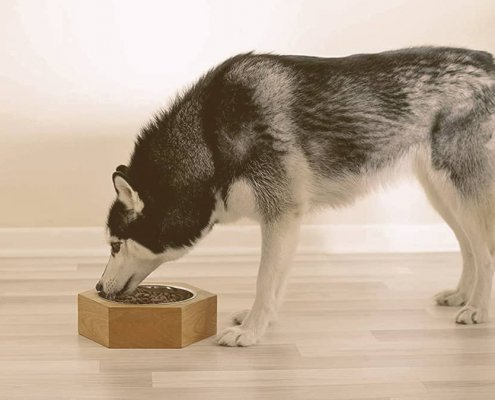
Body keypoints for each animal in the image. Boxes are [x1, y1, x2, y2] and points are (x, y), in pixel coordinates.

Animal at [97, 46, 495, 346]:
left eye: (115, 245)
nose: (98, 289)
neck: (209, 139)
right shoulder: (283, 222)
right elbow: (275, 283)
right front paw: (259, 321)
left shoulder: (282, 215)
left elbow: (264, 280)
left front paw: (250, 333)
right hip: (444, 195)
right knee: (470, 249)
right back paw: (461, 296)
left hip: (462, 194)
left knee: (485, 253)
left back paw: (477, 309)